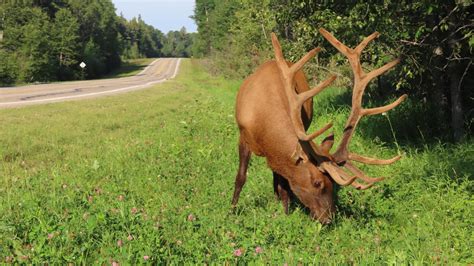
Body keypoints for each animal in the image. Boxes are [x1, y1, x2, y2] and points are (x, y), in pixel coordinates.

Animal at [231, 28, 406, 223]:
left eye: (333, 183)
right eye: (317, 182)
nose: (329, 218)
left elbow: (283, 182)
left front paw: (285, 212)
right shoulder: (243, 135)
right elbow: (241, 177)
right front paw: (232, 211)